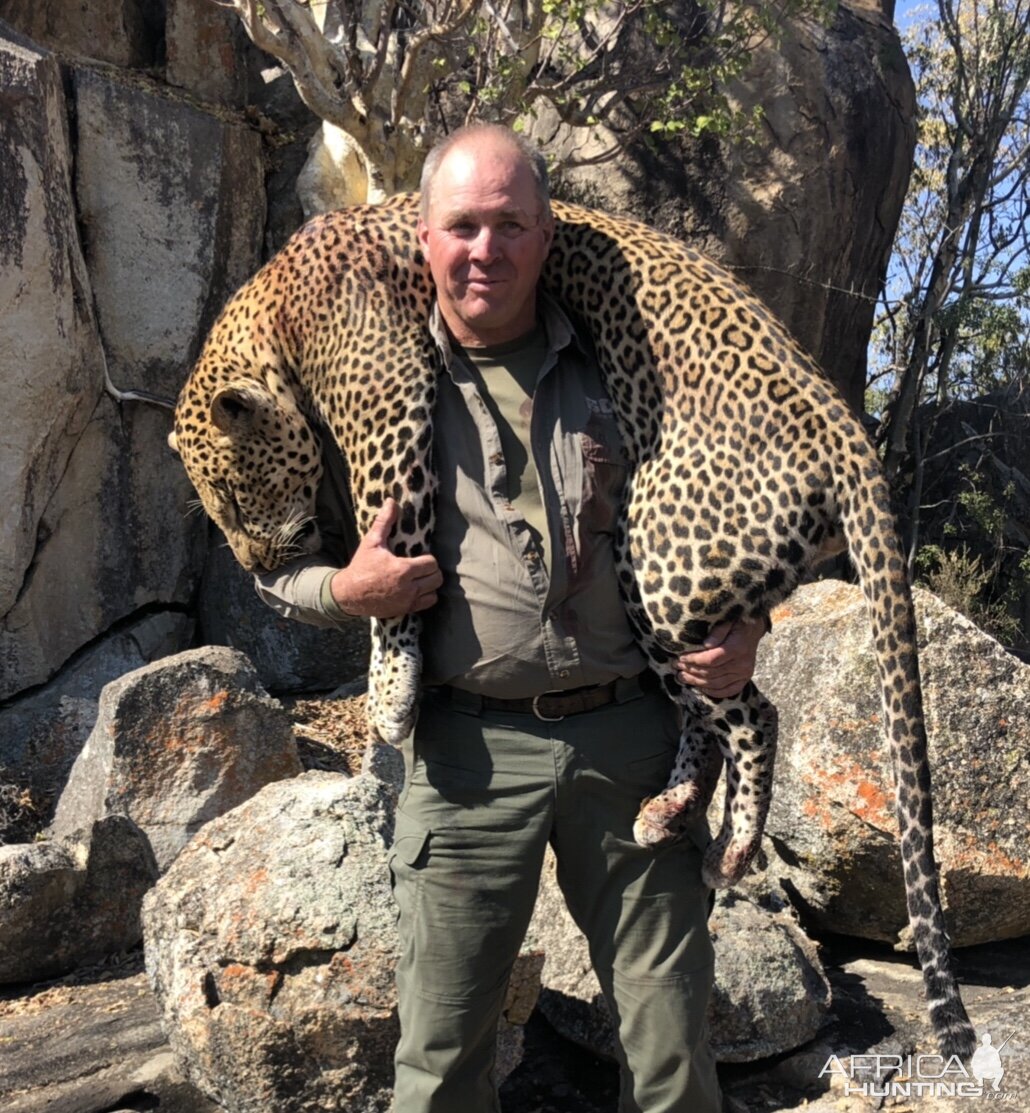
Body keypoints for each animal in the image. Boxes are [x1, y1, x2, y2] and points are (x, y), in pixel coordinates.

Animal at [169, 193, 970, 1059]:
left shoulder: (392, 424)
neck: (278, 313)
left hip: (658, 559)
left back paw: (733, 849)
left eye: (234, 496)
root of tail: (850, 434)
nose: (256, 561)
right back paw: (667, 809)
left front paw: (390, 694)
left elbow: (400, 569)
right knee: (701, 707)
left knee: (755, 710)